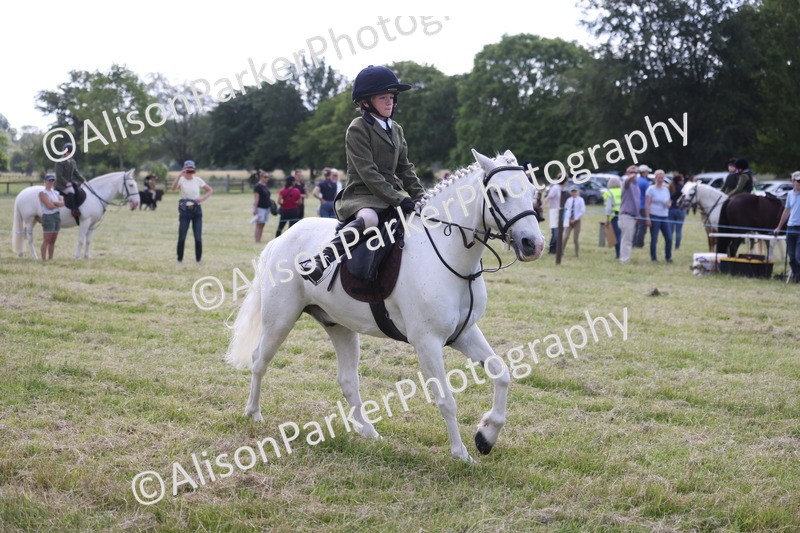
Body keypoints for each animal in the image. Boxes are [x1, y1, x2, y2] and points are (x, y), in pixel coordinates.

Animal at [12, 170, 140, 259]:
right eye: (131, 185)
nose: (136, 203)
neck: (95, 196)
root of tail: (21, 194)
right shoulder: (85, 221)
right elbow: (81, 239)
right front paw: (77, 256)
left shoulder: (92, 225)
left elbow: (88, 241)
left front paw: (87, 256)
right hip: (29, 220)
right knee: (29, 238)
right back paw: (34, 256)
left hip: (33, 220)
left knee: (24, 235)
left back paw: (22, 254)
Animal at [225, 149, 545, 462]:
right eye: (500, 193)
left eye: (532, 191)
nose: (534, 245)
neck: (450, 256)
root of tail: (282, 239)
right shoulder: (427, 342)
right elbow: (446, 399)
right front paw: (461, 454)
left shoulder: (464, 333)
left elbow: (501, 373)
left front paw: (486, 436)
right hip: (280, 319)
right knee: (259, 360)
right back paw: (254, 413)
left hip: (339, 326)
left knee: (348, 381)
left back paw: (369, 434)